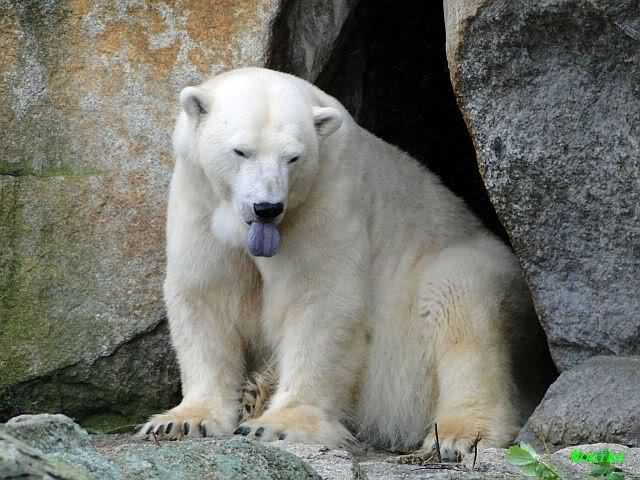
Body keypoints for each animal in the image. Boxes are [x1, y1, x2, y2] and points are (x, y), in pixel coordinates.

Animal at [139, 67, 550, 460]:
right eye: (241, 151)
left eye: (293, 157)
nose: (267, 207)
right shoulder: (199, 201)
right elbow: (206, 295)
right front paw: (181, 421)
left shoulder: (326, 199)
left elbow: (321, 300)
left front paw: (277, 425)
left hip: (468, 272)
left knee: (461, 306)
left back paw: (458, 436)